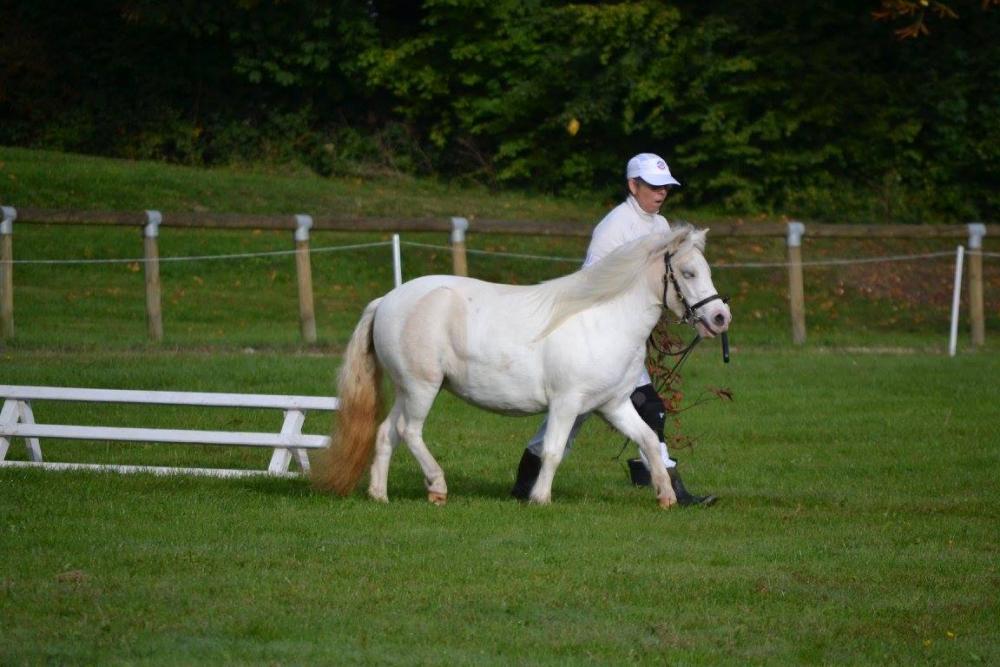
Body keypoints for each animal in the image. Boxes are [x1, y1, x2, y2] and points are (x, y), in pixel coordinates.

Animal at [313, 224, 731, 508]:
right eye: (689, 273)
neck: (604, 320)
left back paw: (379, 495)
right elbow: (553, 450)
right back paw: (437, 487)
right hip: (422, 387)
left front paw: (666, 496)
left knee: (386, 433)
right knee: (409, 431)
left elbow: (647, 439)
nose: (720, 318)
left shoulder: (613, 404)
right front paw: (540, 498)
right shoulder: (566, 403)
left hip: (407, 387)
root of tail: (386, 300)